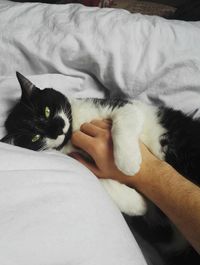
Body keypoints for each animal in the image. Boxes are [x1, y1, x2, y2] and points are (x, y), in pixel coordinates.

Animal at [1, 71, 200, 262]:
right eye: (36, 137)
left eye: (47, 111)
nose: (57, 130)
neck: (73, 131)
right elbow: (107, 184)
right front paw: (139, 203)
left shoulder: (124, 106)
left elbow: (124, 119)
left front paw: (127, 163)